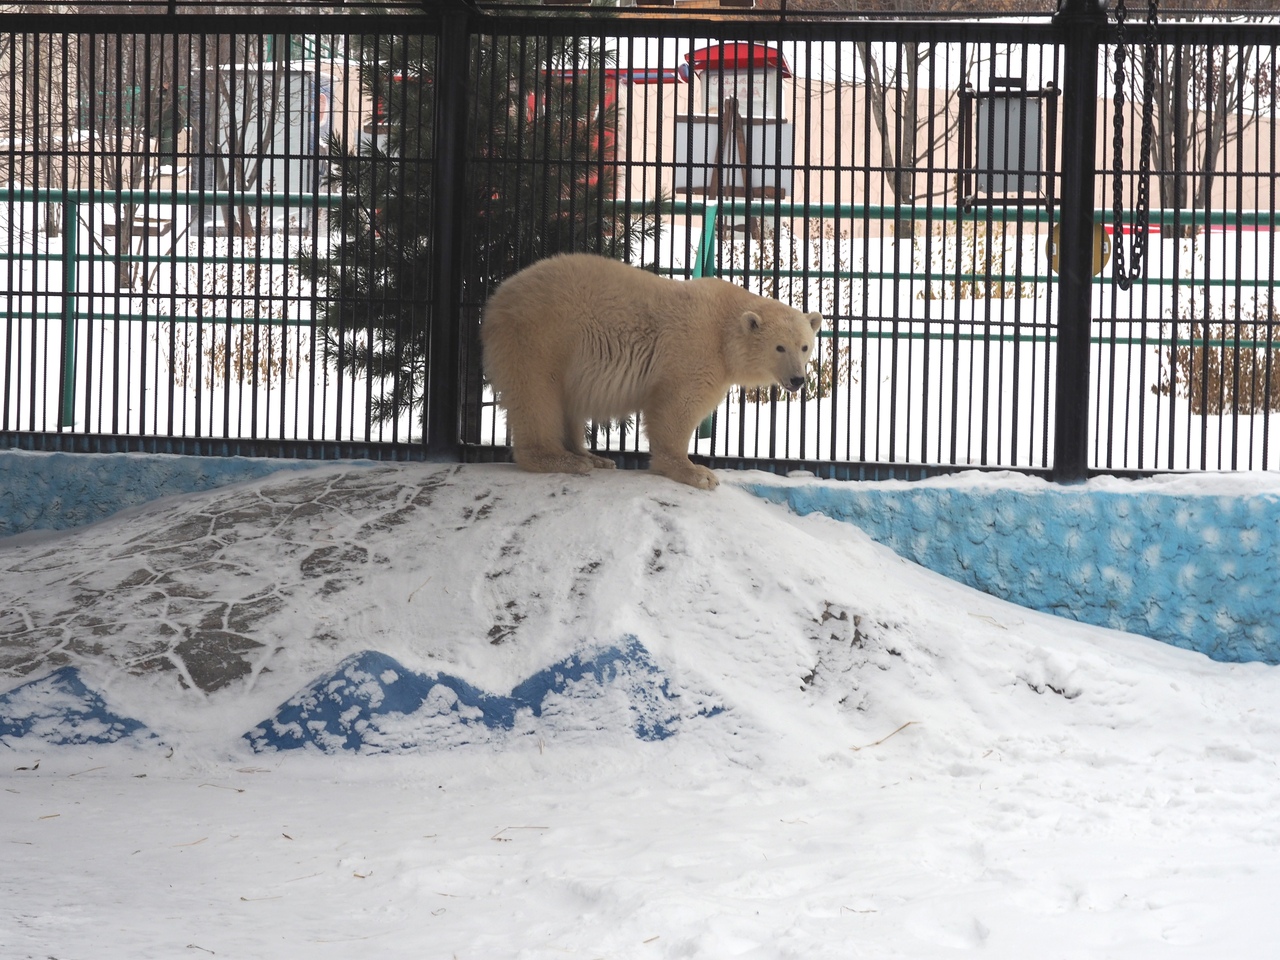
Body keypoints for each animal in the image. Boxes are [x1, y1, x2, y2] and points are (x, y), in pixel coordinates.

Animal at [481, 252, 819, 491]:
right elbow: (677, 407)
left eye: (804, 346)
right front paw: (697, 472)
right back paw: (561, 459)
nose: (797, 379)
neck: (724, 330)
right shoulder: (694, 348)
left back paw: (592, 457)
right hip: (540, 335)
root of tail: (497, 299)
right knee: (538, 394)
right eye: (779, 347)